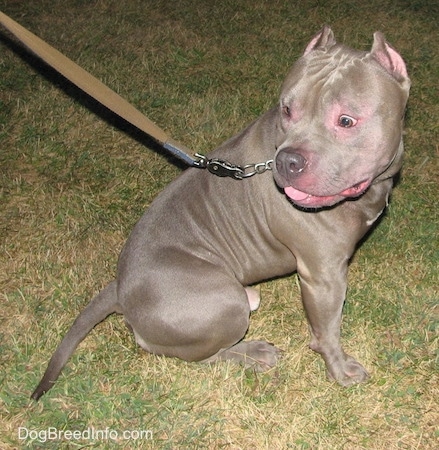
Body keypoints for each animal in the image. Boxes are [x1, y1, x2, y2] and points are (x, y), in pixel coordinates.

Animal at [31, 26, 412, 400]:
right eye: (287, 110)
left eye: (346, 120)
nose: (288, 161)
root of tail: (121, 288)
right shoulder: (322, 277)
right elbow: (328, 331)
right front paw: (340, 370)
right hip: (225, 300)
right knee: (204, 354)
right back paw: (252, 353)